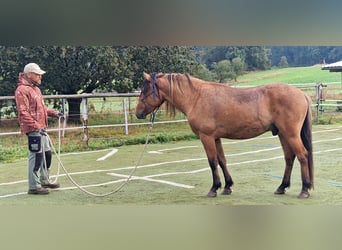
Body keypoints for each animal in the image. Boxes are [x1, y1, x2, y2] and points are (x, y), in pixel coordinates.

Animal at [136, 72, 312, 199]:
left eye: (145, 90)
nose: (138, 113)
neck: (196, 97)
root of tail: (302, 94)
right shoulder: (216, 137)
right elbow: (222, 161)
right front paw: (227, 186)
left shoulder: (206, 137)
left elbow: (212, 162)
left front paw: (214, 188)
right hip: (283, 134)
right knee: (289, 158)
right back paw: (282, 187)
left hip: (291, 134)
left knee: (302, 155)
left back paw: (304, 189)